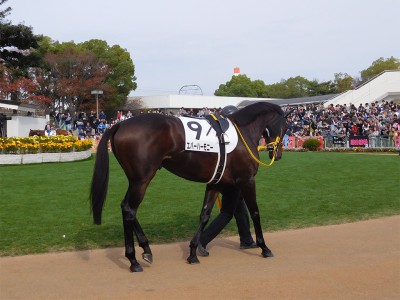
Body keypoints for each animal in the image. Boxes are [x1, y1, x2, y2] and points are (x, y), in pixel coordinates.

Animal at [91, 102, 290, 274]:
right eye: (286, 127)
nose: (278, 153)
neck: (243, 133)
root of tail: (120, 124)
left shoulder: (215, 183)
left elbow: (205, 215)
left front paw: (193, 252)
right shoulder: (247, 180)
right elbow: (255, 212)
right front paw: (264, 247)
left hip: (135, 180)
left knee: (126, 208)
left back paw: (146, 249)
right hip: (142, 180)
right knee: (130, 210)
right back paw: (133, 260)